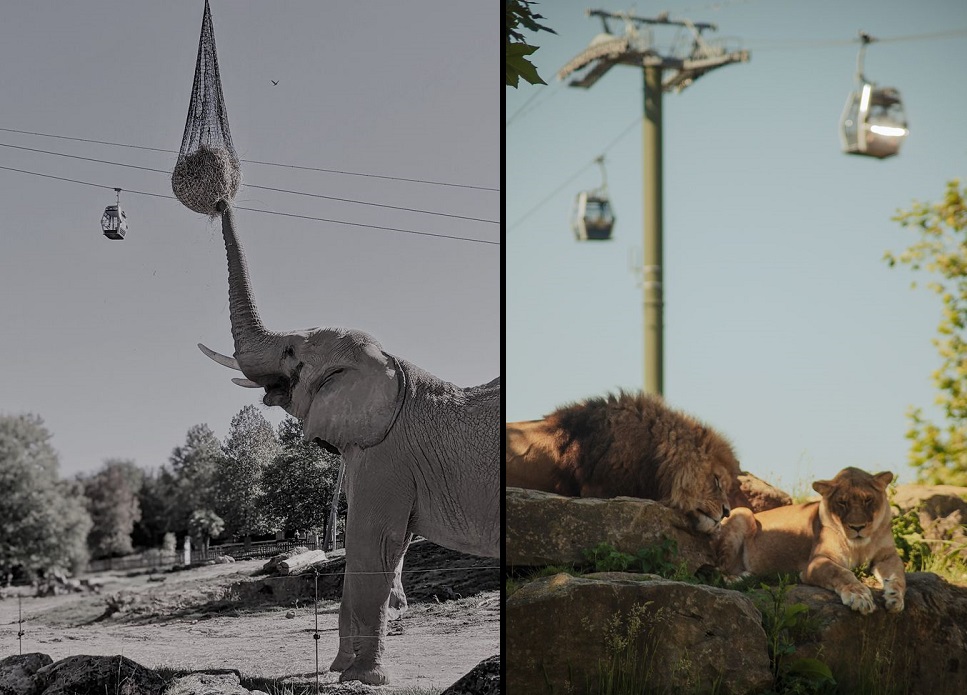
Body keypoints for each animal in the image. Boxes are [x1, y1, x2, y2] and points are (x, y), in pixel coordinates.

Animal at [198, 200, 500, 684]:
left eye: (291, 353)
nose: (222, 200)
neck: (393, 365)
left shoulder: (388, 459)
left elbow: (371, 544)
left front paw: (362, 679)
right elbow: (388, 548)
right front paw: (342, 671)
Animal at [712, 468, 908, 616]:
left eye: (868, 499)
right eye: (842, 502)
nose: (857, 527)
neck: (860, 545)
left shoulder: (887, 556)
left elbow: (898, 575)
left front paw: (894, 597)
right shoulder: (817, 561)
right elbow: (841, 573)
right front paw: (859, 597)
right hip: (742, 512)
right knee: (719, 571)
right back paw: (739, 577)